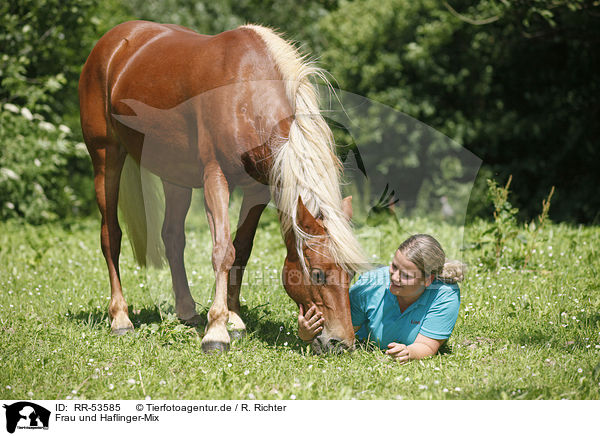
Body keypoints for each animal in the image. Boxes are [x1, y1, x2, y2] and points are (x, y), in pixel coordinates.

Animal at [77, 21, 368, 354]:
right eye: (318, 273)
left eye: (351, 273)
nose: (342, 343)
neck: (246, 91)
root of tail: (113, 41)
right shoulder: (215, 178)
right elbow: (222, 251)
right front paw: (216, 330)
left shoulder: (258, 189)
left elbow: (241, 250)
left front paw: (235, 319)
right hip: (106, 159)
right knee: (110, 236)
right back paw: (120, 318)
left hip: (174, 175)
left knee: (173, 238)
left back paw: (187, 311)